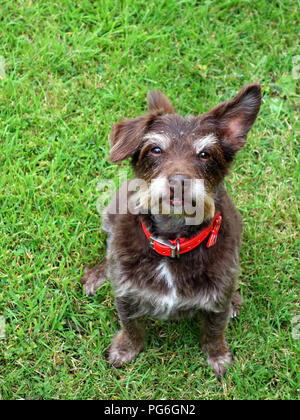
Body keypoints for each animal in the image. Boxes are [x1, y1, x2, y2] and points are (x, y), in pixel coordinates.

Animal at [81, 84, 260, 378]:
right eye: (155, 149)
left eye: (205, 154)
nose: (179, 181)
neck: (172, 241)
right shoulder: (126, 295)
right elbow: (131, 327)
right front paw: (125, 350)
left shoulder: (217, 302)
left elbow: (214, 331)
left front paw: (218, 357)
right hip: (109, 214)